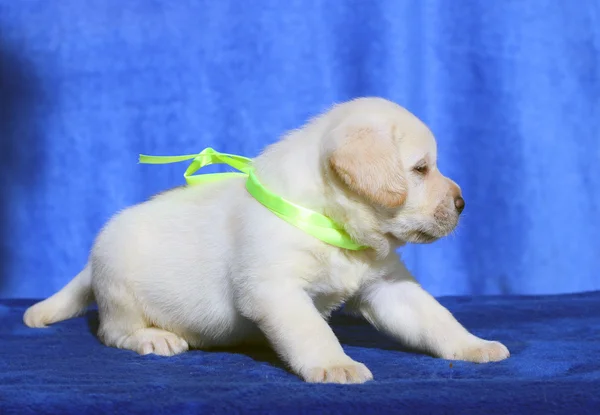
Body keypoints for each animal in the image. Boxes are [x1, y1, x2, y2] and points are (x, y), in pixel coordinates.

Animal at [25, 96, 508, 384]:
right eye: (421, 169)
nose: (463, 203)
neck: (326, 220)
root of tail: (92, 261)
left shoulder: (388, 288)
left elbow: (436, 319)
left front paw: (474, 345)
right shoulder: (275, 290)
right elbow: (313, 332)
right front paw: (336, 364)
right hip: (120, 291)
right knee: (113, 332)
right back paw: (153, 339)